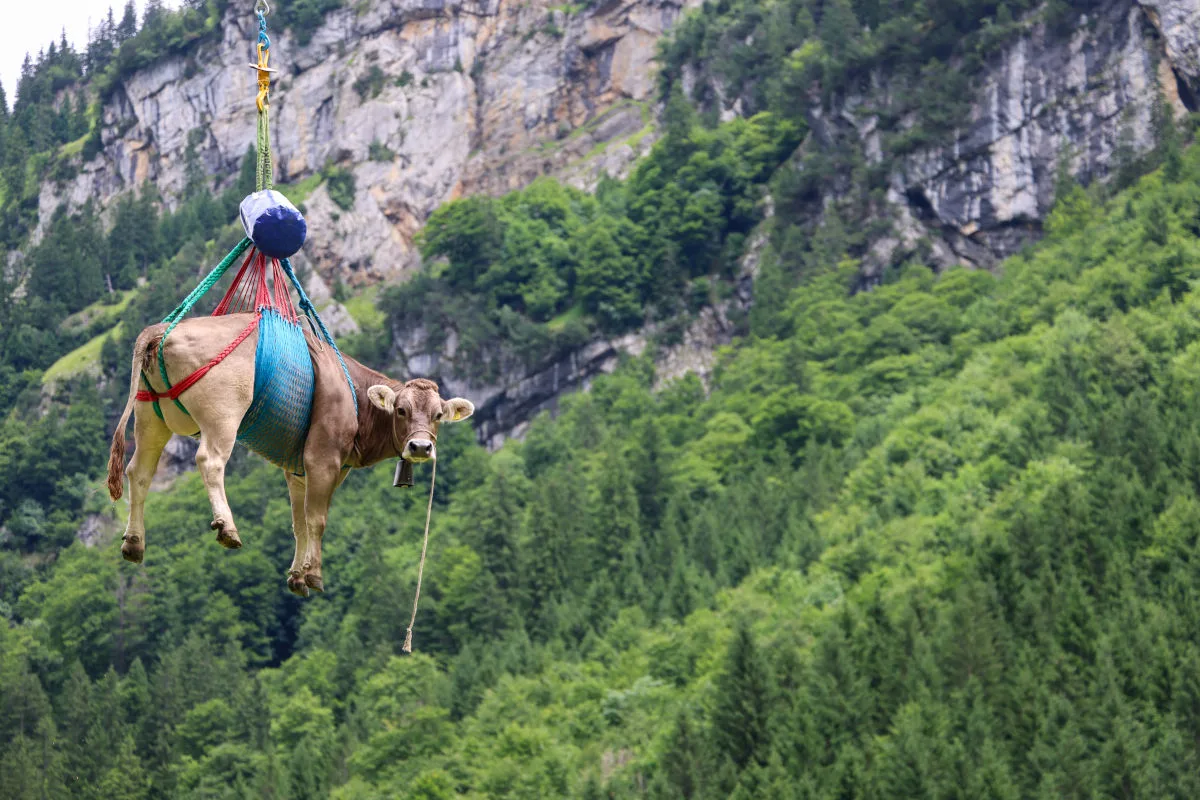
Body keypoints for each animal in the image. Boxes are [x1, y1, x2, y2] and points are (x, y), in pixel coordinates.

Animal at [106, 312, 474, 596]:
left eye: (438, 415)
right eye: (400, 410)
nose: (421, 447)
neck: (355, 397)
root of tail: (161, 328)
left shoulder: (298, 470)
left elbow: (299, 522)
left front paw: (297, 575)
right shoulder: (322, 460)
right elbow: (317, 519)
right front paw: (314, 574)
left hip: (151, 415)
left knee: (139, 471)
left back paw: (134, 542)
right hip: (222, 414)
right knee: (209, 461)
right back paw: (227, 527)